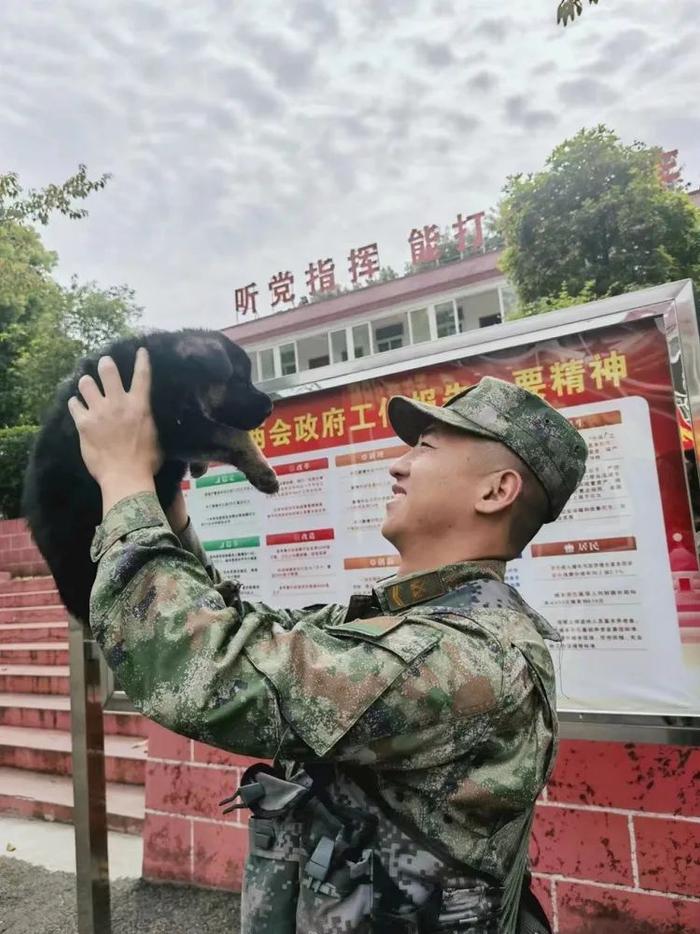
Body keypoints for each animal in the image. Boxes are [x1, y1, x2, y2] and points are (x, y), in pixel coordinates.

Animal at [23, 326, 278, 624]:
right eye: (239, 380)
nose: (270, 407)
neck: (167, 367)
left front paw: (199, 466)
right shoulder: (176, 424)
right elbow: (232, 434)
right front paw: (264, 472)